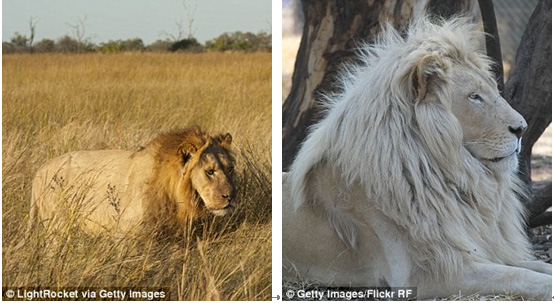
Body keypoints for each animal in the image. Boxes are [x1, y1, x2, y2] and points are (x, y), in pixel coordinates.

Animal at [282, 15, 548, 300]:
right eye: (474, 97)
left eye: (495, 92)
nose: (522, 128)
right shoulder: (427, 273)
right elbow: (518, 276)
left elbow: (535, 267)